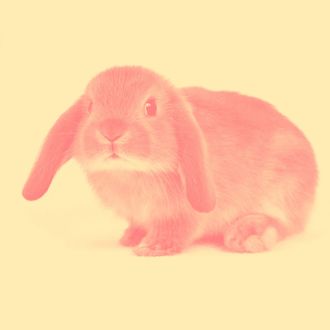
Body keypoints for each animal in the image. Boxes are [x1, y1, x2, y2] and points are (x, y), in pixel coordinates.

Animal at [21, 66, 318, 255]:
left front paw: (153, 247)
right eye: (90, 107)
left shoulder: (183, 214)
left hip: (284, 190)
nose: (111, 131)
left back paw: (246, 235)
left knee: (284, 223)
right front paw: (131, 237)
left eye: (150, 107)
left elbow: (178, 228)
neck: (132, 173)